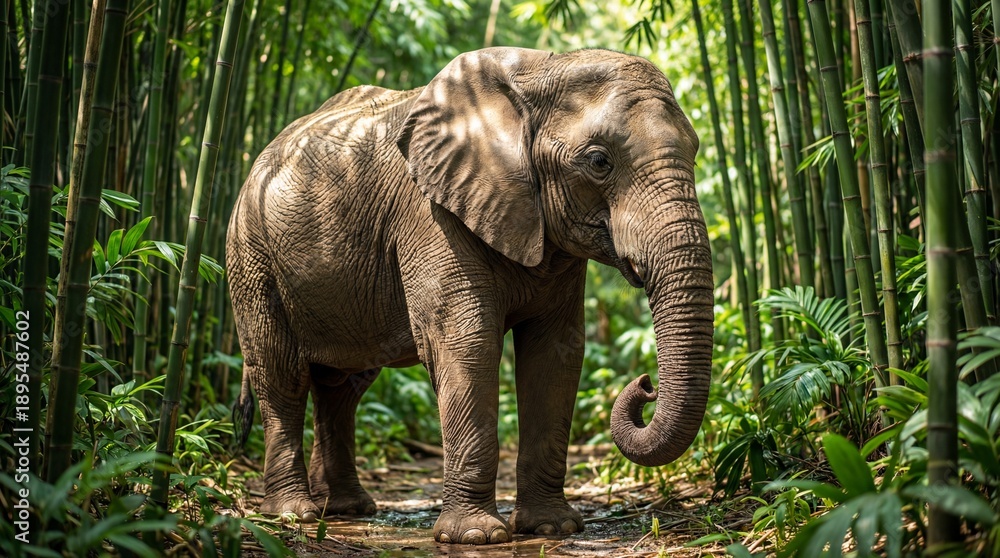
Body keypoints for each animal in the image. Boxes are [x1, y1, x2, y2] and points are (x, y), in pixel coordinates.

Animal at [227, 47, 713, 545]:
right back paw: (295, 515)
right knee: (281, 374)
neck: (543, 68)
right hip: (251, 256)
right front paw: (477, 537)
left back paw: (348, 509)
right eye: (599, 162)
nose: (645, 385)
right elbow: (467, 343)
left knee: (344, 386)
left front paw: (551, 527)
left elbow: (556, 353)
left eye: (695, 151)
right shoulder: (431, 213)